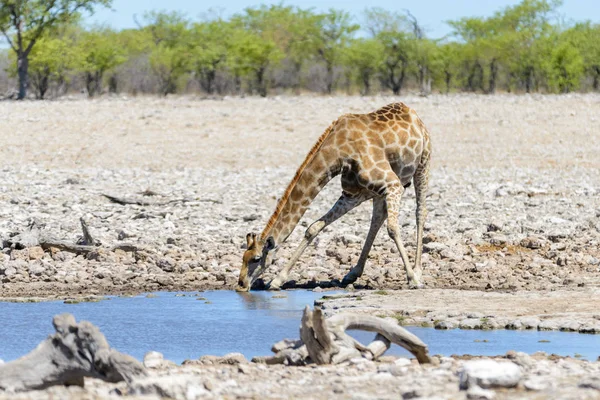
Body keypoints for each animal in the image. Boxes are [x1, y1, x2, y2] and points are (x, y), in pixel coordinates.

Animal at [236, 101, 432, 292]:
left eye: (256, 258)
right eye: (243, 257)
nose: (241, 284)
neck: (338, 153)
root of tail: (413, 113)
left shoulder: (393, 184)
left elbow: (392, 228)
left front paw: (413, 279)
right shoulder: (352, 194)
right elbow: (313, 228)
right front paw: (277, 280)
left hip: (423, 163)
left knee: (420, 212)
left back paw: (417, 271)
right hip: (375, 191)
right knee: (377, 218)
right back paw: (352, 273)